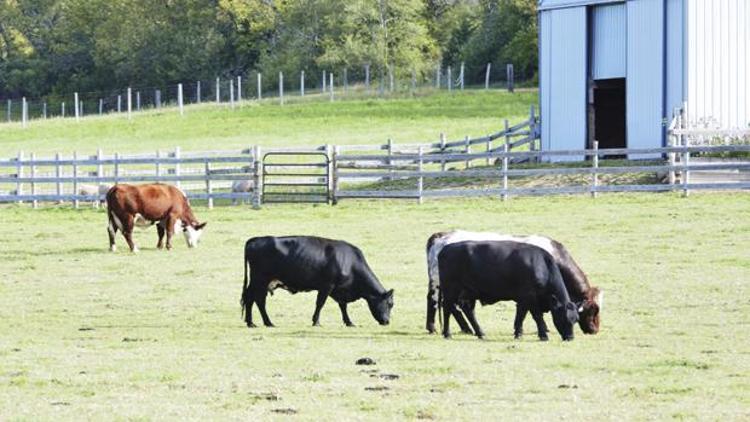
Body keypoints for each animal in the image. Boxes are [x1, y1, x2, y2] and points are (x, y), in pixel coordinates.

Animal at [242, 236, 396, 328]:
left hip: (261, 282)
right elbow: (320, 304)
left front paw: (349, 322)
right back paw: (263, 322)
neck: (350, 263)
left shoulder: (339, 289)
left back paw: (254, 322)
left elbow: (343, 306)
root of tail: (254, 240)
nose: (387, 321)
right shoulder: (327, 286)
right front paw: (316, 321)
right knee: (255, 299)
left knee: (253, 299)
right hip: (259, 280)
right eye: (390, 304)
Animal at [428, 231, 604, 340]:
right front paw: (543, 334)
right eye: (592, 310)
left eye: (575, 319)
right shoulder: (530, 296)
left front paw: (518, 332)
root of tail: (442, 241)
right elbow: (535, 315)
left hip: (467, 292)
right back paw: (445, 332)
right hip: (448, 288)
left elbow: (521, 314)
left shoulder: (523, 298)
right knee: (444, 305)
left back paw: (478, 332)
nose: (594, 330)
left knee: (466, 309)